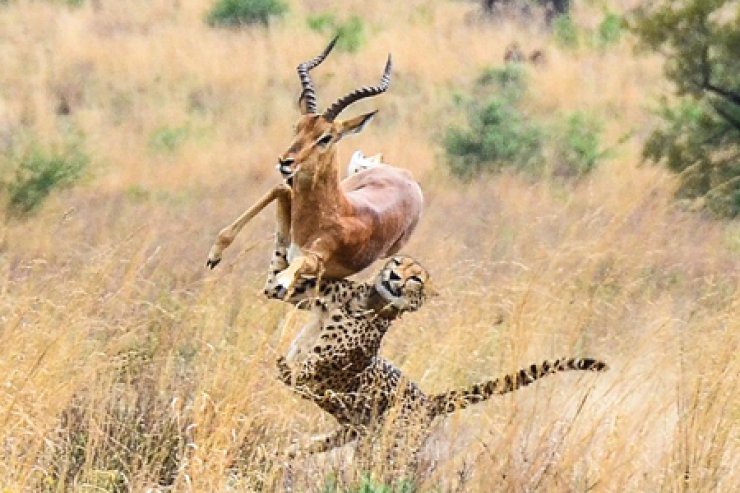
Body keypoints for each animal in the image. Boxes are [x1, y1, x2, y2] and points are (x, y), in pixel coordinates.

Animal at [264, 234, 608, 466]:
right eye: (397, 263)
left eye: (415, 278)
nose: (394, 277)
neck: (370, 299)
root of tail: (428, 399)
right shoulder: (289, 293)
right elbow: (275, 275)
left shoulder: (319, 377)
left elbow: (295, 373)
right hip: (352, 432)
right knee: (311, 446)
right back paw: (282, 451)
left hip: (390, 447)